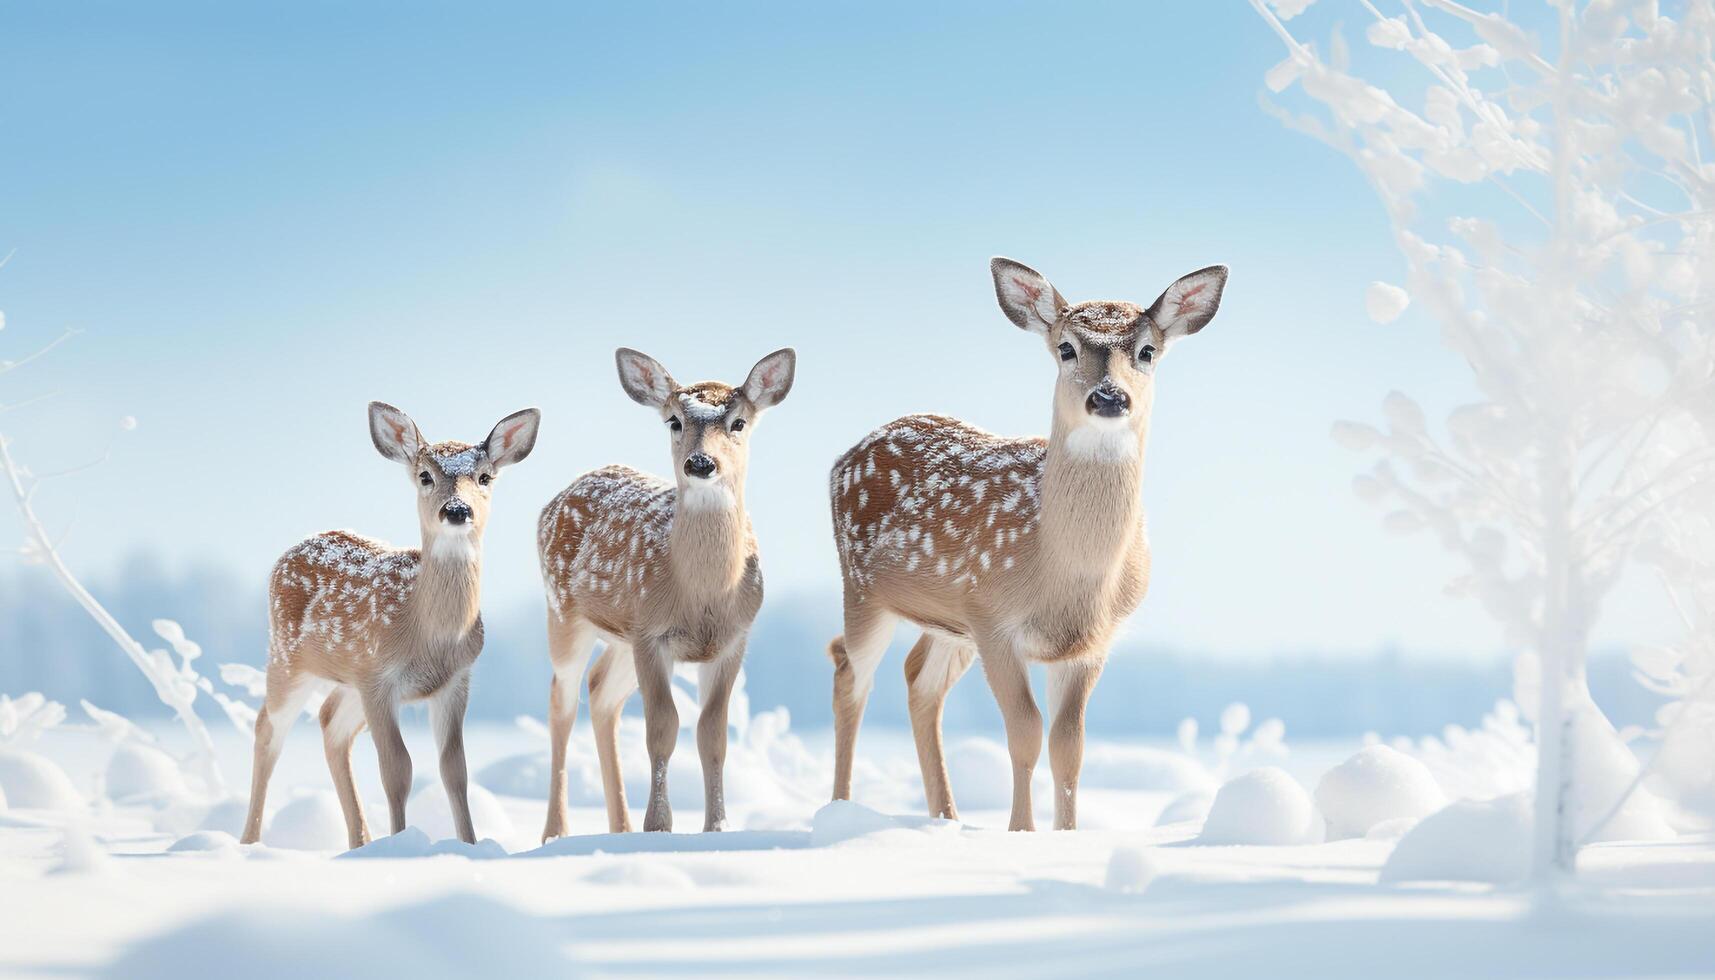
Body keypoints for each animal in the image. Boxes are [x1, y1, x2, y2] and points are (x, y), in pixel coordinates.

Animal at [238, 403, 538, 847]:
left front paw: (469, 845)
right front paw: (401, 844)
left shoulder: (455, 681)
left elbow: (455, 771)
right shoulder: (378, 677)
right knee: (267, 729)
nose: (457, 510)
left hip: (347, 680)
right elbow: (397, 769)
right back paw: (250, 841)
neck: (429, 635)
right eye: (425, 475)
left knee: (330, 724)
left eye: (485, 477)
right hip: (288, 657)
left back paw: (358, 841)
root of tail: (293, 548)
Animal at [535, 344, 795, 837]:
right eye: (674, 420)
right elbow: (663, 727)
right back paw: (557, 830)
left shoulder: (733, 640)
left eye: (738, 422)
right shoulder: (651, 634)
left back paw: (619, 826)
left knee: (601, 693)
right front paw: (658, 826)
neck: (703, 596)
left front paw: (717, 826)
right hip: (564, 614)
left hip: (620, 636)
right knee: (563, 700)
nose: (701, 463)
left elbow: (712, 734)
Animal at [826, 257, 1221, 830]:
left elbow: (1068, 747)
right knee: (849, 673)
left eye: (1147, 351)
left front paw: (1065, 834)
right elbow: (1026, 735)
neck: (1062, 573)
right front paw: (1020, 832)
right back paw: (839, 809)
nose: (1109, 396)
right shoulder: (993, 620)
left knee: (918, 681)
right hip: (863, 589)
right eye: (1067, 348)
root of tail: (844, 456)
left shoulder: (1091, 643)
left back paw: (946, 817)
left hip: (948, 622)